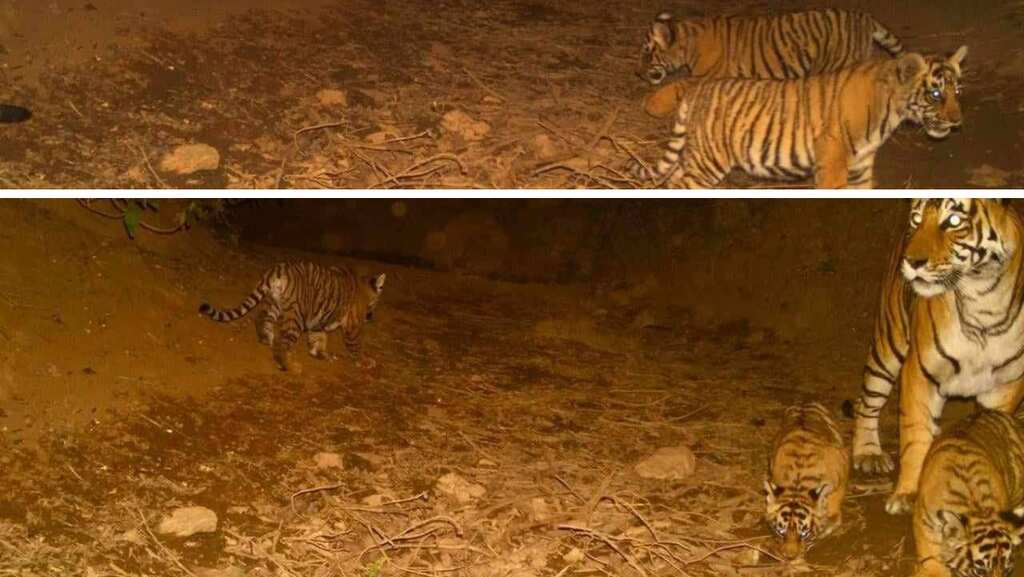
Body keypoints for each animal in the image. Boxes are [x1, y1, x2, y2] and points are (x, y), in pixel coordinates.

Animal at [199, 261, 386, 373]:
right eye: (375, 303)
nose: (370, 317)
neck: (364, 287)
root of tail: (278, 269)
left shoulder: (317, 321)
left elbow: (318, 338)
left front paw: (320, 354)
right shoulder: (352, 326)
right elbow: (355, 345)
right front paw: (364, 361)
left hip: (273, 304)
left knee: (260, 318)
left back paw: (266, 338)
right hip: (295, 318)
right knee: (280, 344)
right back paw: (290, 366)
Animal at [632, 46, 966, 189]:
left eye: (957, 90)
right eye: (935, 94)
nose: (957, 122)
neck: (891, 111)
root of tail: (697, 90)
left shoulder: (860, 167)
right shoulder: (833, 160)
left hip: (695, 155)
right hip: (708, 160)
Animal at [850, 199, 1024, 517]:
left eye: (953, 221)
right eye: (917, 219)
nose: (911, 261)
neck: (983, 304)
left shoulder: (1006, 384)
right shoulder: (919, 372)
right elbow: (915, 435)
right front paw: (907, 494)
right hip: (888, 345)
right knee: (867, 400)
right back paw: (868, 453)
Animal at [912, 408, 1024, 577]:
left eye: (1006, 571)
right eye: (980, 571)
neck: (977, 507)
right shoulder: (923, 520)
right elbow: (930, 554)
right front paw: (933, 570)